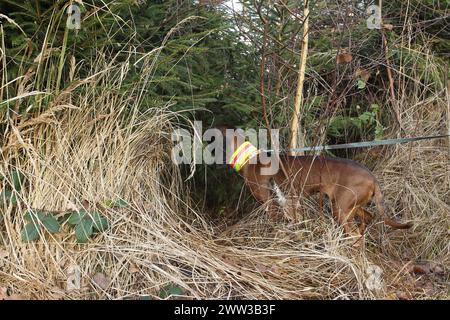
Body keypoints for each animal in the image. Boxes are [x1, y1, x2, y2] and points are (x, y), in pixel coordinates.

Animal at [223, 129, 414, 239]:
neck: (250, 158)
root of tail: (372, 178)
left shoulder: (271, 203)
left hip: (341, 209)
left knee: (355, 235)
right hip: (349, 205)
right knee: (368, 217)